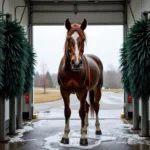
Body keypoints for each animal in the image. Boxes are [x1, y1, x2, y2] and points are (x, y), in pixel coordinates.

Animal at [57, 18, 103, 146]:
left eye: (83, 39)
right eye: (68, 39)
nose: (76, 63)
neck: (72, 71)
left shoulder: (83, 91)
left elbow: (81, 112)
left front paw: (83, 138)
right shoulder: (64, 91)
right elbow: (67, 112)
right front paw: (65, 137)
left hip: (97, 89)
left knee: (95, 106)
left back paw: (97, 129)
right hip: (78, 94)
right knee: (87, 106)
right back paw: (85, 128)